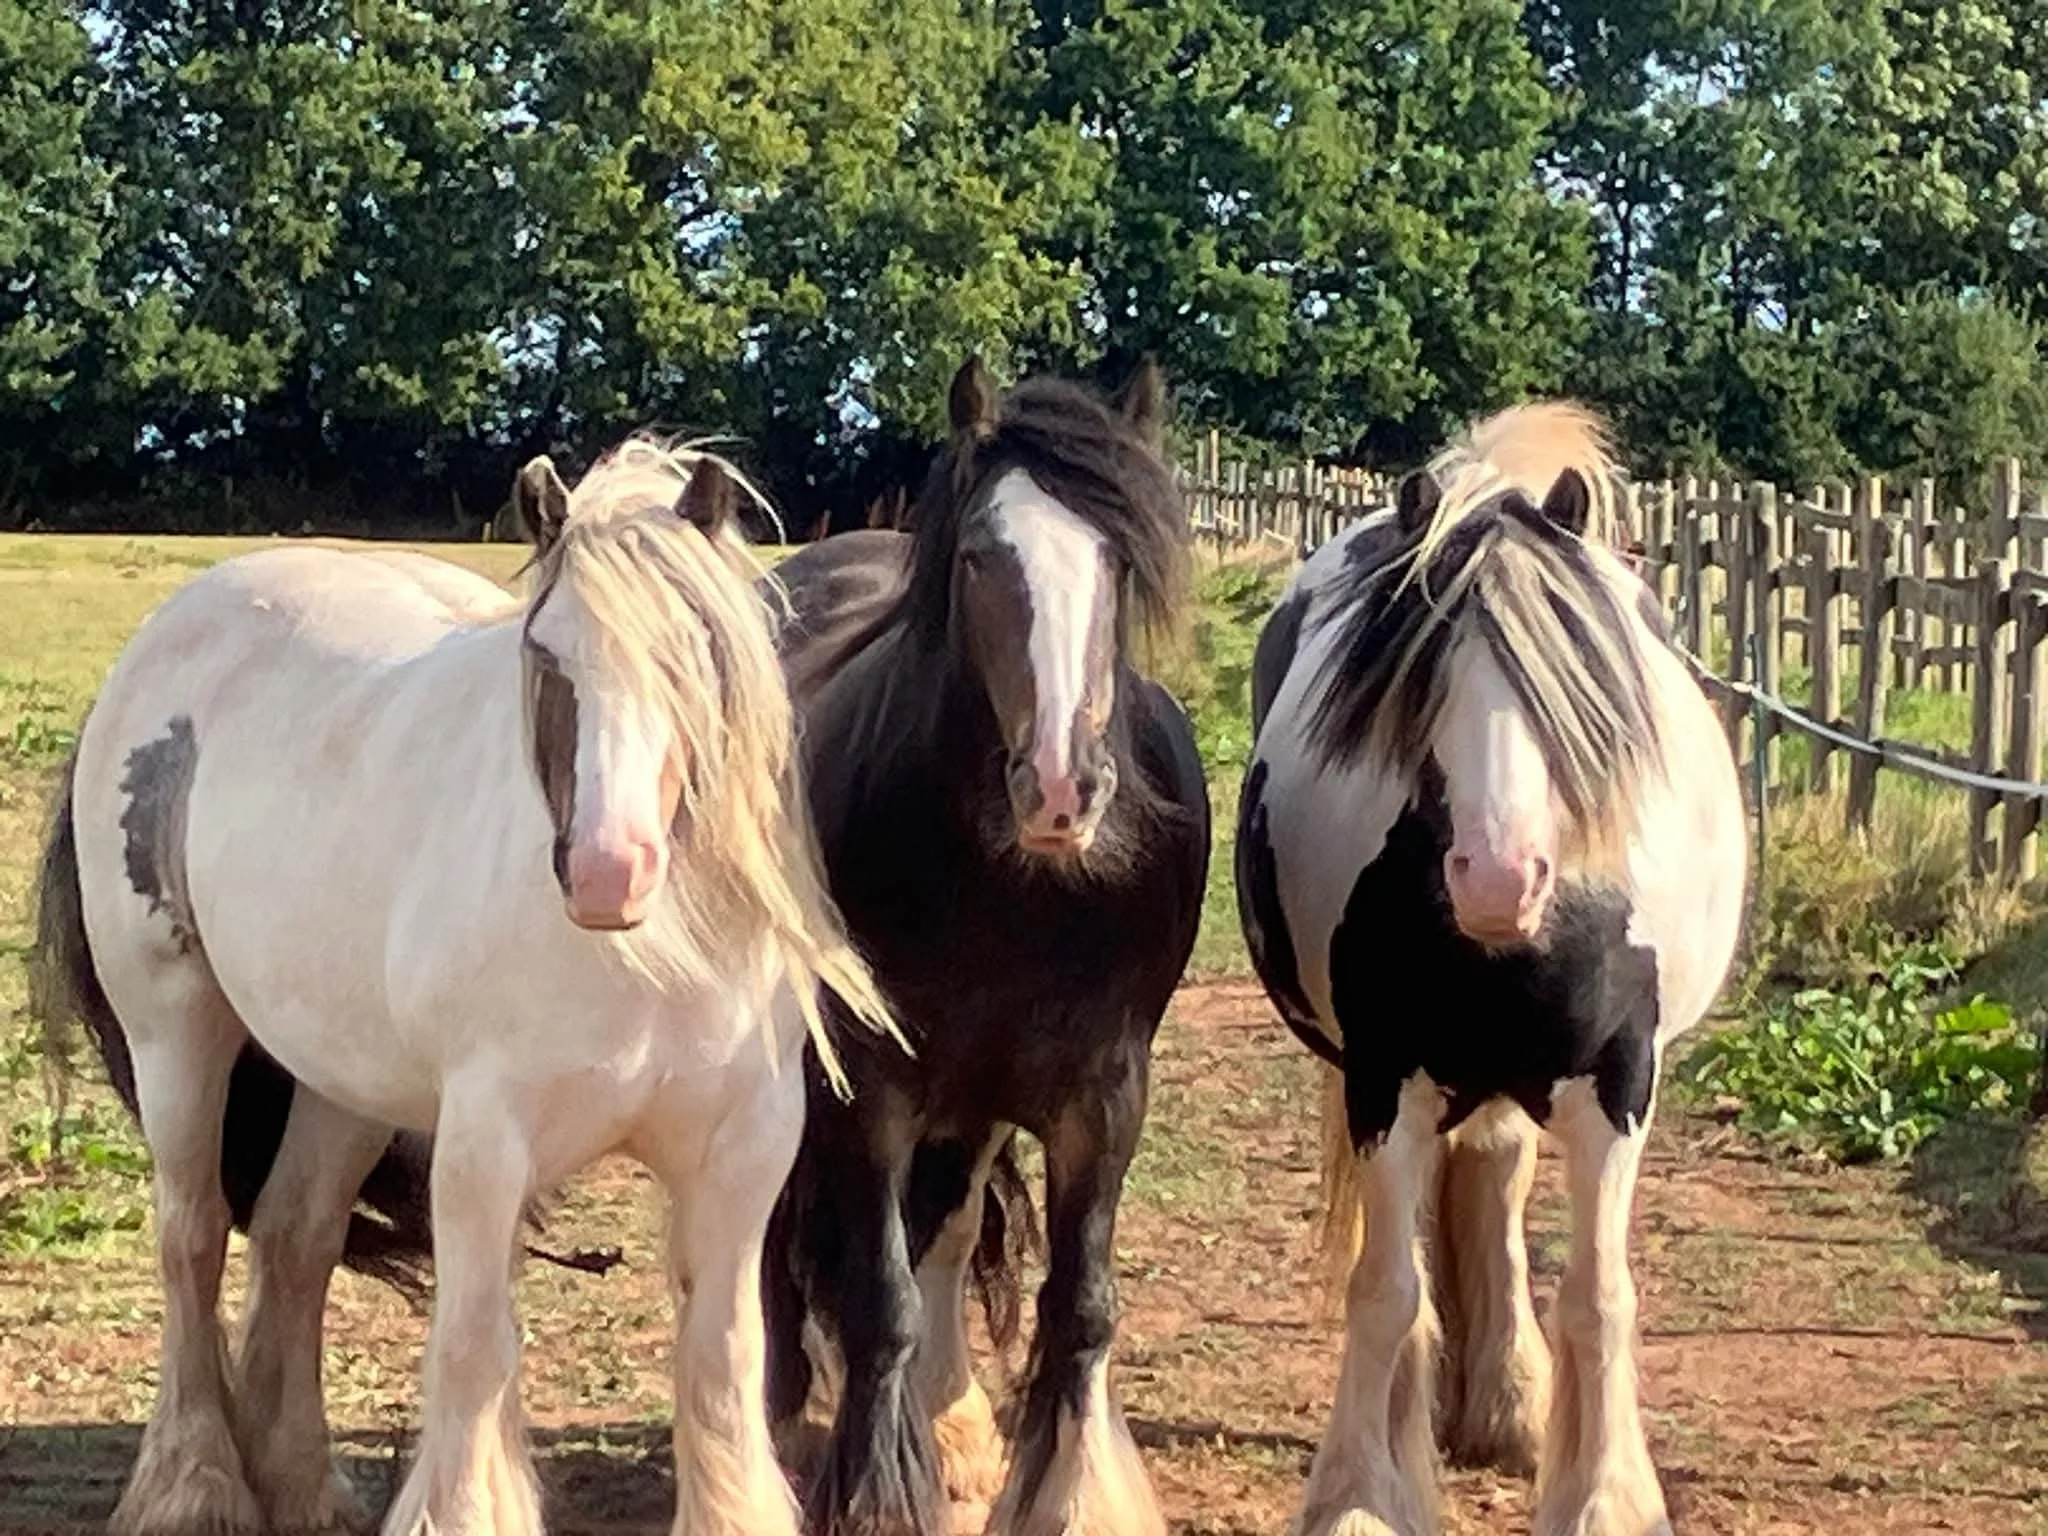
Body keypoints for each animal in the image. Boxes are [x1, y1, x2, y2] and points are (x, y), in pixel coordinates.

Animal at [31, 440, 897, 1536]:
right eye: (546, 657)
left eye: (694, 654)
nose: (608, 870)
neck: (646, 960)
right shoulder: (486, 1145)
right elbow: (477, 1348)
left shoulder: (741, 1151)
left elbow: (719, 1360)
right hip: (178, 1036)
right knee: (192, 1238)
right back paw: (196, 1489)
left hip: (343, 1080)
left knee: (295, 1237)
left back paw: (304, 1487)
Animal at [761, 357, 1211, 1536]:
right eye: (978, 557)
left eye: (1119, 560)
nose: (1060, 786)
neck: (1018, 892)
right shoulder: (868, 1083)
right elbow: (877, 1300)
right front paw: (874, 1496)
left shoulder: (1103, 1095)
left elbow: (1077, 1308)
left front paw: (1056, 1491)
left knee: (946, 1233)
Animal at [1234, 403, 1747, 1536]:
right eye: (1423, 675)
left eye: (1573, 677)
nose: (1497, 877)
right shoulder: (1381, 1079)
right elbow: (1385, 1292)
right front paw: (1358, 1498)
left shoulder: (1617, 1085)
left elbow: (1597, 1298)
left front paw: (1601, 1500)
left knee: (1502, 1181)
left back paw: (1506, 1402)